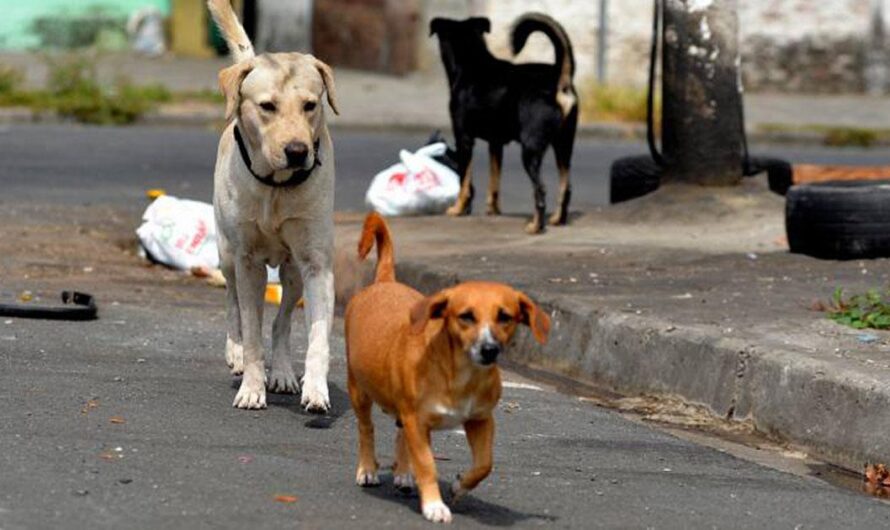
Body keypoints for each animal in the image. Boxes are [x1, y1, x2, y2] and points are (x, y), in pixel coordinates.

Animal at [205, 0, 336, 410]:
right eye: (267, 106)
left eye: (310, 105)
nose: (297, 151)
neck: (276, 188)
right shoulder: (247, 260)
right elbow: (250, 330)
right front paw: (251, 385)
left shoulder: (315, 262)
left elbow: (318, 335)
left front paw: (315, 388)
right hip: (226, 251)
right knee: (232, 301)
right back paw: (235, 354)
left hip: (291, 270)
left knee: (281, 322)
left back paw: (281, 371)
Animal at [346, 212, 548, 520]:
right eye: (466, 316)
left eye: (505, 316)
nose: (489, 349)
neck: (460, 375)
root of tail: (384, 281)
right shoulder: (417, 421)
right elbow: (427, 463)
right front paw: (434, 505)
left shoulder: (480, 420)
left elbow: (484, 464)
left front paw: (459, 486)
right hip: (359, 391)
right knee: (366, 429)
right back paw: (368, 469)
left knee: (400, 434)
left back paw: (403, 473)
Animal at [428, 13, 576, 232]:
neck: (472, 62)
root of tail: (558, 79)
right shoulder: (495, 144)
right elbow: (494, 180)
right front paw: (493, 210)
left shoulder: (463, 139)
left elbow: (464, 179)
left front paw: (458, 208)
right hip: (564, 146)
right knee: (566, 186)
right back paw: (558, 219)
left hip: (530, 150)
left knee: (540, 189)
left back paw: (536, 226)